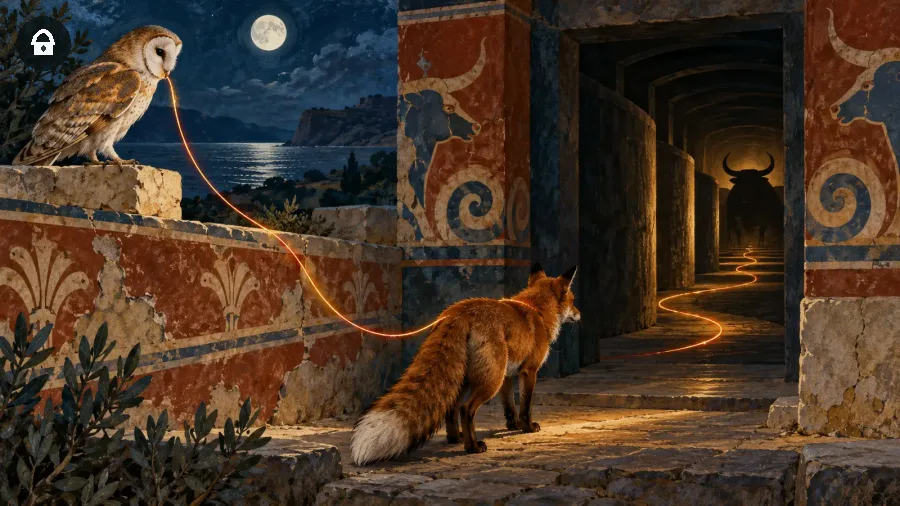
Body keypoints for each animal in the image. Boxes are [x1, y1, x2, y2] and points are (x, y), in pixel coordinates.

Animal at [350, 263, 580, 465]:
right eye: (573, 300)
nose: (580, 314)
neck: (537, 310)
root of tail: (457, 312)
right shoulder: (529, 371)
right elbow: (525, 406)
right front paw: (528, 427)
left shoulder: (507, 376)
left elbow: (509, 406)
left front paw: (512, 425)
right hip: (489, 380)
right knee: (465, 409)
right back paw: (472, 447)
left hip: (466, 378)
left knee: (451, 409)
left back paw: (456, 439)